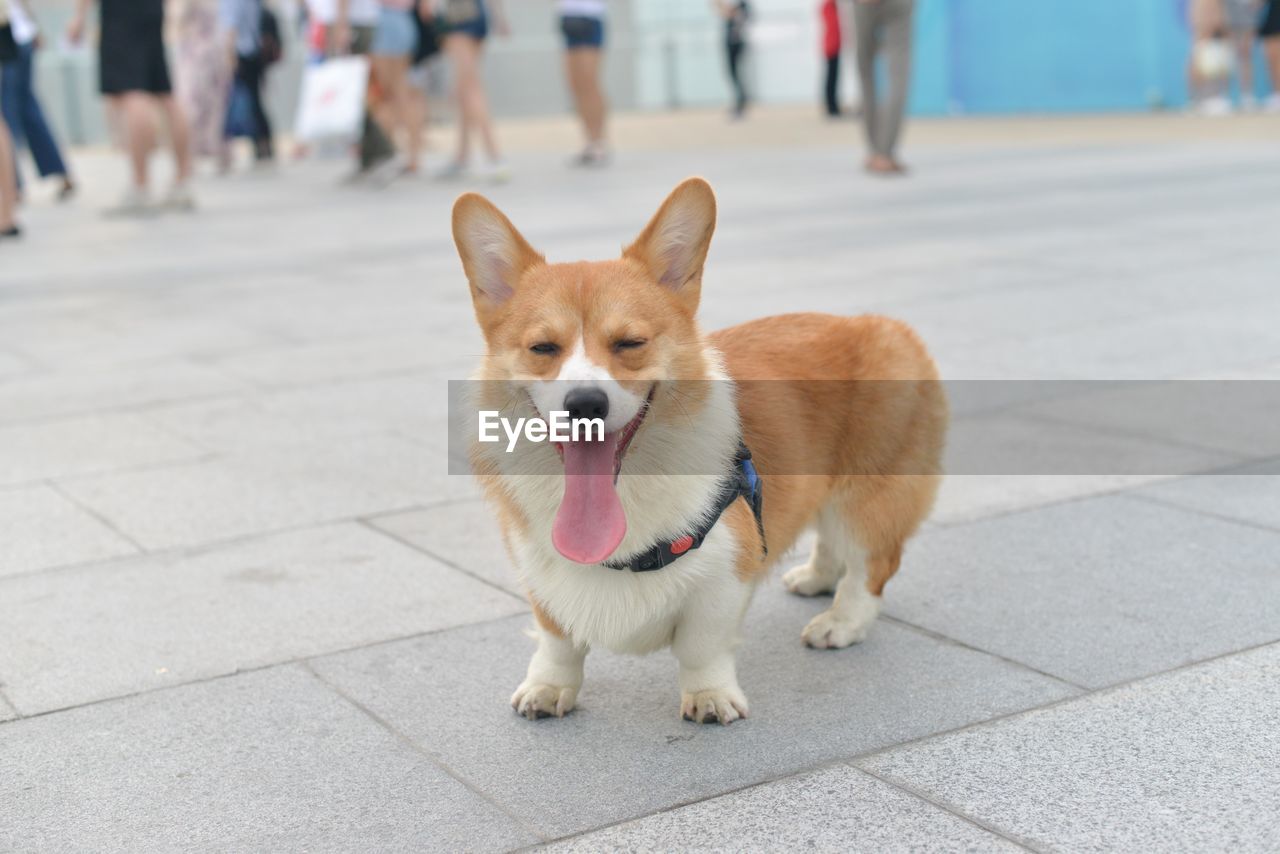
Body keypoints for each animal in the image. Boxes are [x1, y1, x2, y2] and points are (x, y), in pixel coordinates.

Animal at [455, 176, 947, 727]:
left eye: (630, 343)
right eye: (542, 348)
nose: (584, 404)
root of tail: (882, 325)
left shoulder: (724, 573)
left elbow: (701, 647)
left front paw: (709, 696)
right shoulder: (541, 569)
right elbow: (556, 639)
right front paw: (548, 686)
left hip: (871, 494)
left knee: (871, 564)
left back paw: (840, 620)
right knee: (827, 535)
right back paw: (816, 578)